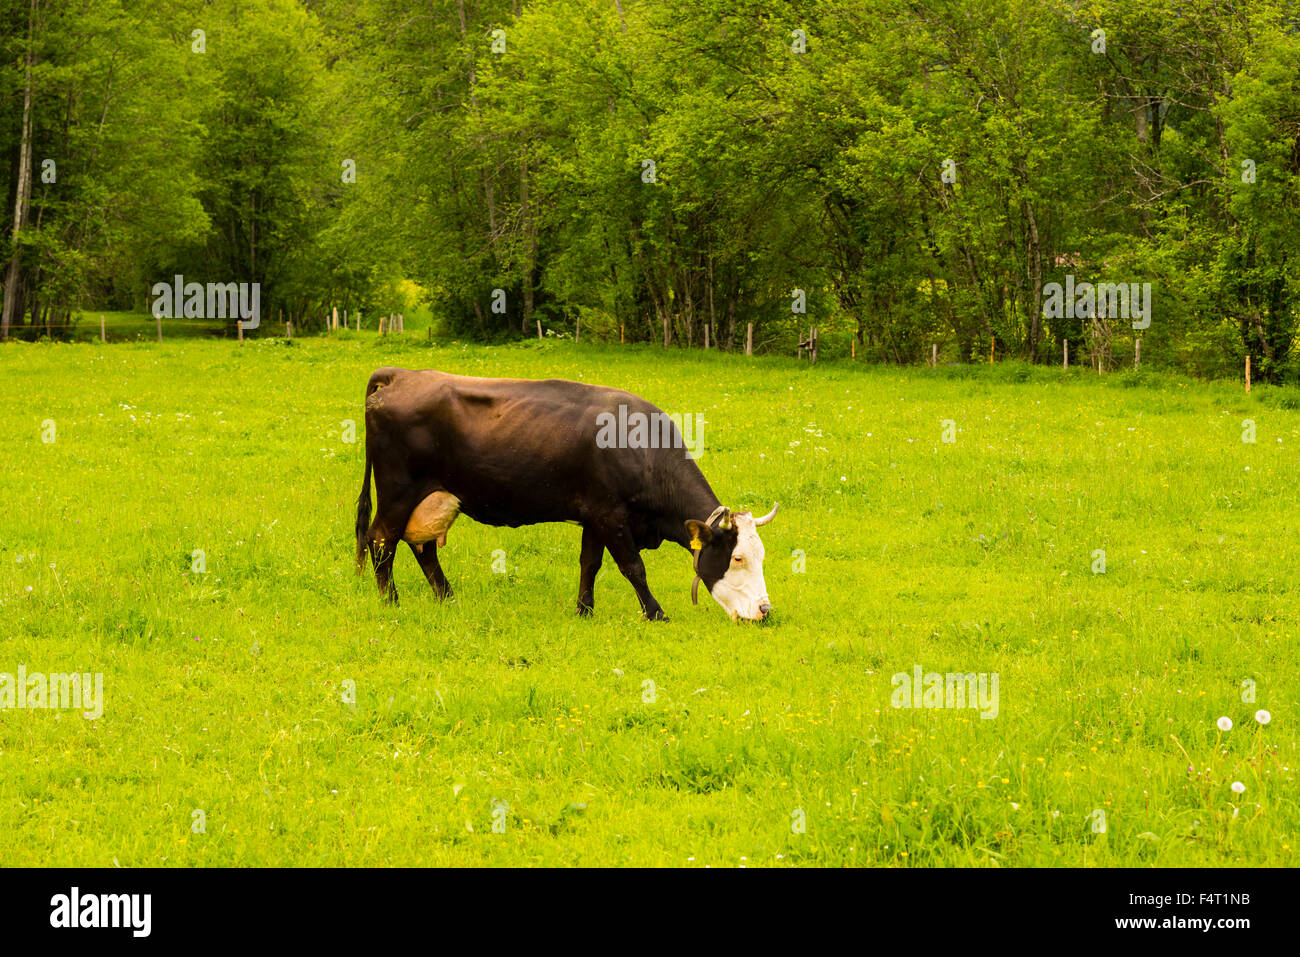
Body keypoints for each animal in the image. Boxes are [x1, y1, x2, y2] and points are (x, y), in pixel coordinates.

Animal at [356, 366, 774, 621]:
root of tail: (401, 376)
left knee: (422, 547)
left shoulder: (595, 515)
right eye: (737, 558)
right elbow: (632, 566)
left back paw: (448, 597)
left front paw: (583, 610)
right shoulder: (611, 514)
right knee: (381, 540)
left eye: (761, 556)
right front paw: (656, 612)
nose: (765, 610)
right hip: (398, 492)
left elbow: (590, 563)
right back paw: (391, 602)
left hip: (433, 499)